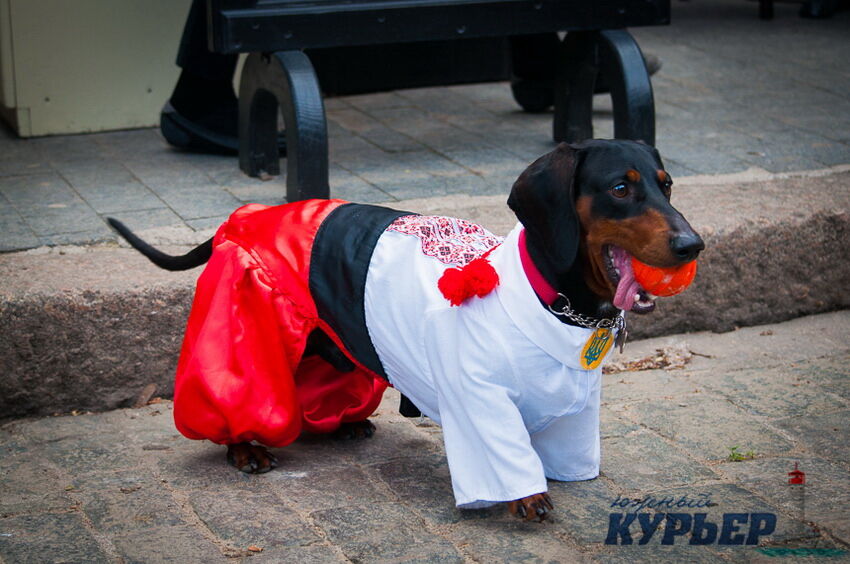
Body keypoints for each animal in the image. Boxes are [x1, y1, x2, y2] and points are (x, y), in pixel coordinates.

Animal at [107, 140, 704, 520]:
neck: (552, 304)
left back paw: (343, 422)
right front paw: (526, 497)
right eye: (620, 188)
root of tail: (245, 216)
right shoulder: (478, 401)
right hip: (250, 317)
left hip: (333, 344)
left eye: (667, 185)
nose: (692, 245)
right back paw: (245, 446)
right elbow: (505, 454)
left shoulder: (577, 411)